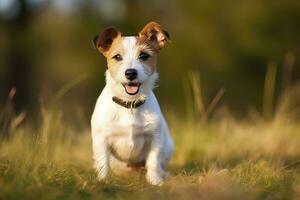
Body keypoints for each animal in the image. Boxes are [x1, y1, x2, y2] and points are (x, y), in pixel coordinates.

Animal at [90, 21, 173, 186]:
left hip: (168, 147)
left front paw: (155, 181)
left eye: (144, 56)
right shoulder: (101, 139)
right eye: (117, 57)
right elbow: (103, 163)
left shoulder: (155, 138)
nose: (130, 73)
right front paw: (103, 181)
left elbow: (153, 161)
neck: (130, 105)